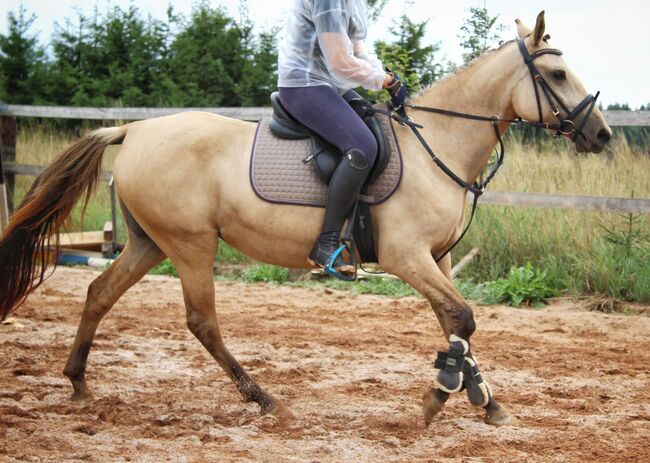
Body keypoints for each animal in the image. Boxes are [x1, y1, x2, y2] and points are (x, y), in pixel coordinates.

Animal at [0, 13, 608, 428]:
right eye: (557, 73)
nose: (600, 134)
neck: (436, 143)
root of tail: (134, 130)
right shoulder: (408, 256)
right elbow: (462, 318)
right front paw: (440, 395)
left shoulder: (439, 257)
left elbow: (454, 323)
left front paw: (484, 398)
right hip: (190, 243)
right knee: (202, 322)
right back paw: (264, 397)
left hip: (150, 241)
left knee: (100, 293)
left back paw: (79, 384)